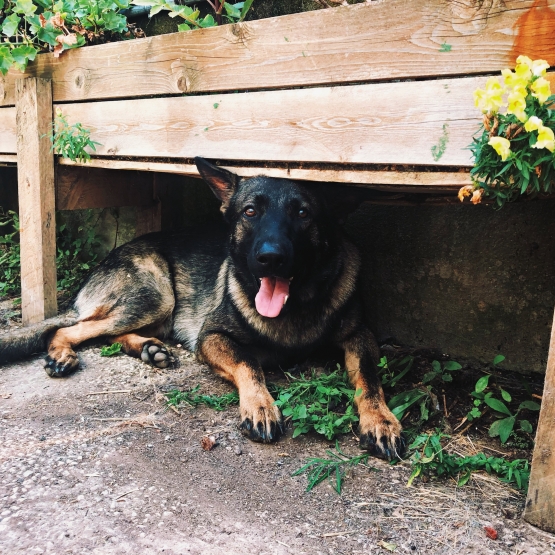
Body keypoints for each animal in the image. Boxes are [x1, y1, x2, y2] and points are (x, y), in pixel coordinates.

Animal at [1, 157, 408, 460]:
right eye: (250, 212)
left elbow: (369, 379)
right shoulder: (212, 337)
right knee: (68, 328)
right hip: (156, 295)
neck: (295, 307)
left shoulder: (360, 336)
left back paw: (150, 350)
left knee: (111, 333)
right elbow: (249, 362)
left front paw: (381, 420)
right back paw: (64, 355)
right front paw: (260, 406)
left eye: (303, 213)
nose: (270, 259)